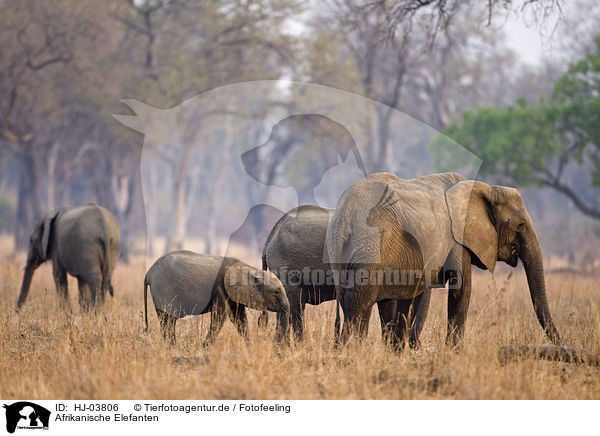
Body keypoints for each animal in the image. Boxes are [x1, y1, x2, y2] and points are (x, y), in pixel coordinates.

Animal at [143, 250, 288, 346]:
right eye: (276, 292)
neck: (249, 269)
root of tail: (149, 272)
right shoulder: (220, 288)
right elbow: (220, 316)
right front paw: (205, 347)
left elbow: (239, 318)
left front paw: (249, 346)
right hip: (163, 289)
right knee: (167, 319)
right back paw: (171, 346)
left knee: (167, 320)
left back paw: (170, 345)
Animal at [326, 173, 560, 348]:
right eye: (520, 225)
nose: (561, 343)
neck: (487, 188)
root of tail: (345, 215)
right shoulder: (457, 238)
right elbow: (461, 289)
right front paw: (453, 353)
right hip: (371, 248)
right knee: (359, 304)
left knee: (355, 303)